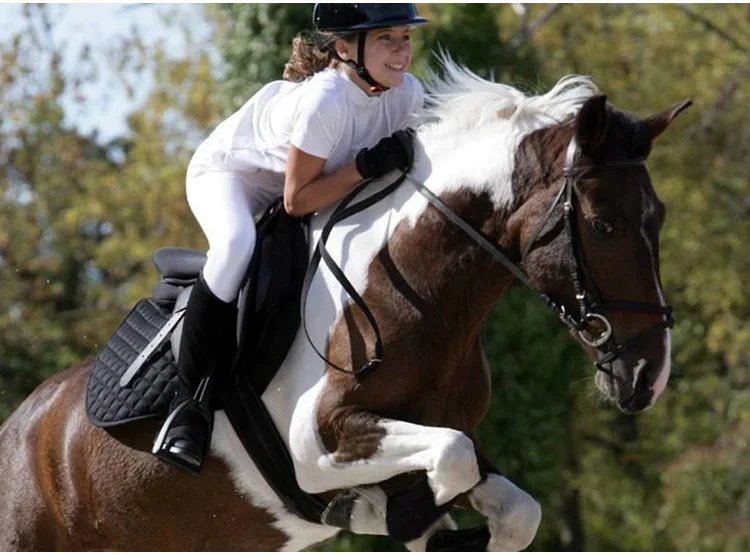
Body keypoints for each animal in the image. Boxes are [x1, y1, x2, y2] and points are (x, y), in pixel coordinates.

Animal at [0, 61, 690, 551]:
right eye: (602, 225)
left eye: (658, 218)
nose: (648, 377)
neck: (422, 294)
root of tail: (21, 425)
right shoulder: (317, 442)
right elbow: (449, 461)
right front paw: (393, 512)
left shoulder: (445, 436)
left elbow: (509, 505)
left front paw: (410, 516)